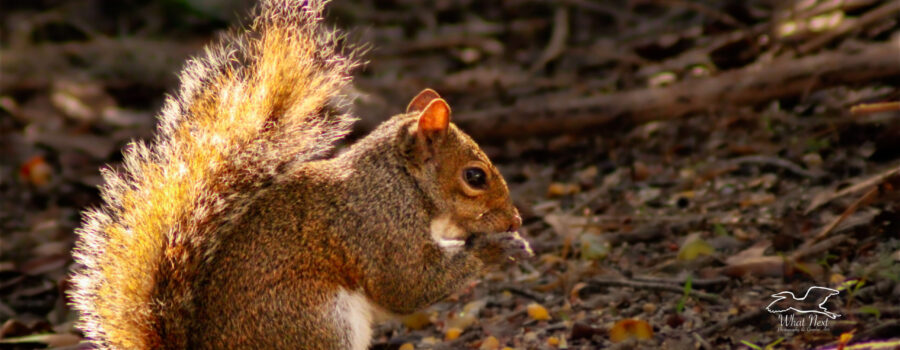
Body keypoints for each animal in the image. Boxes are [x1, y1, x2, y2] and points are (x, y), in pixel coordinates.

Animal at [70, 0, 536, 350]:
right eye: (475, 177)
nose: (515, 219)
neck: (404, 185)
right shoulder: (379, 228)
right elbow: (407, 284)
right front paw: (498, 248)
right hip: (317, 323)